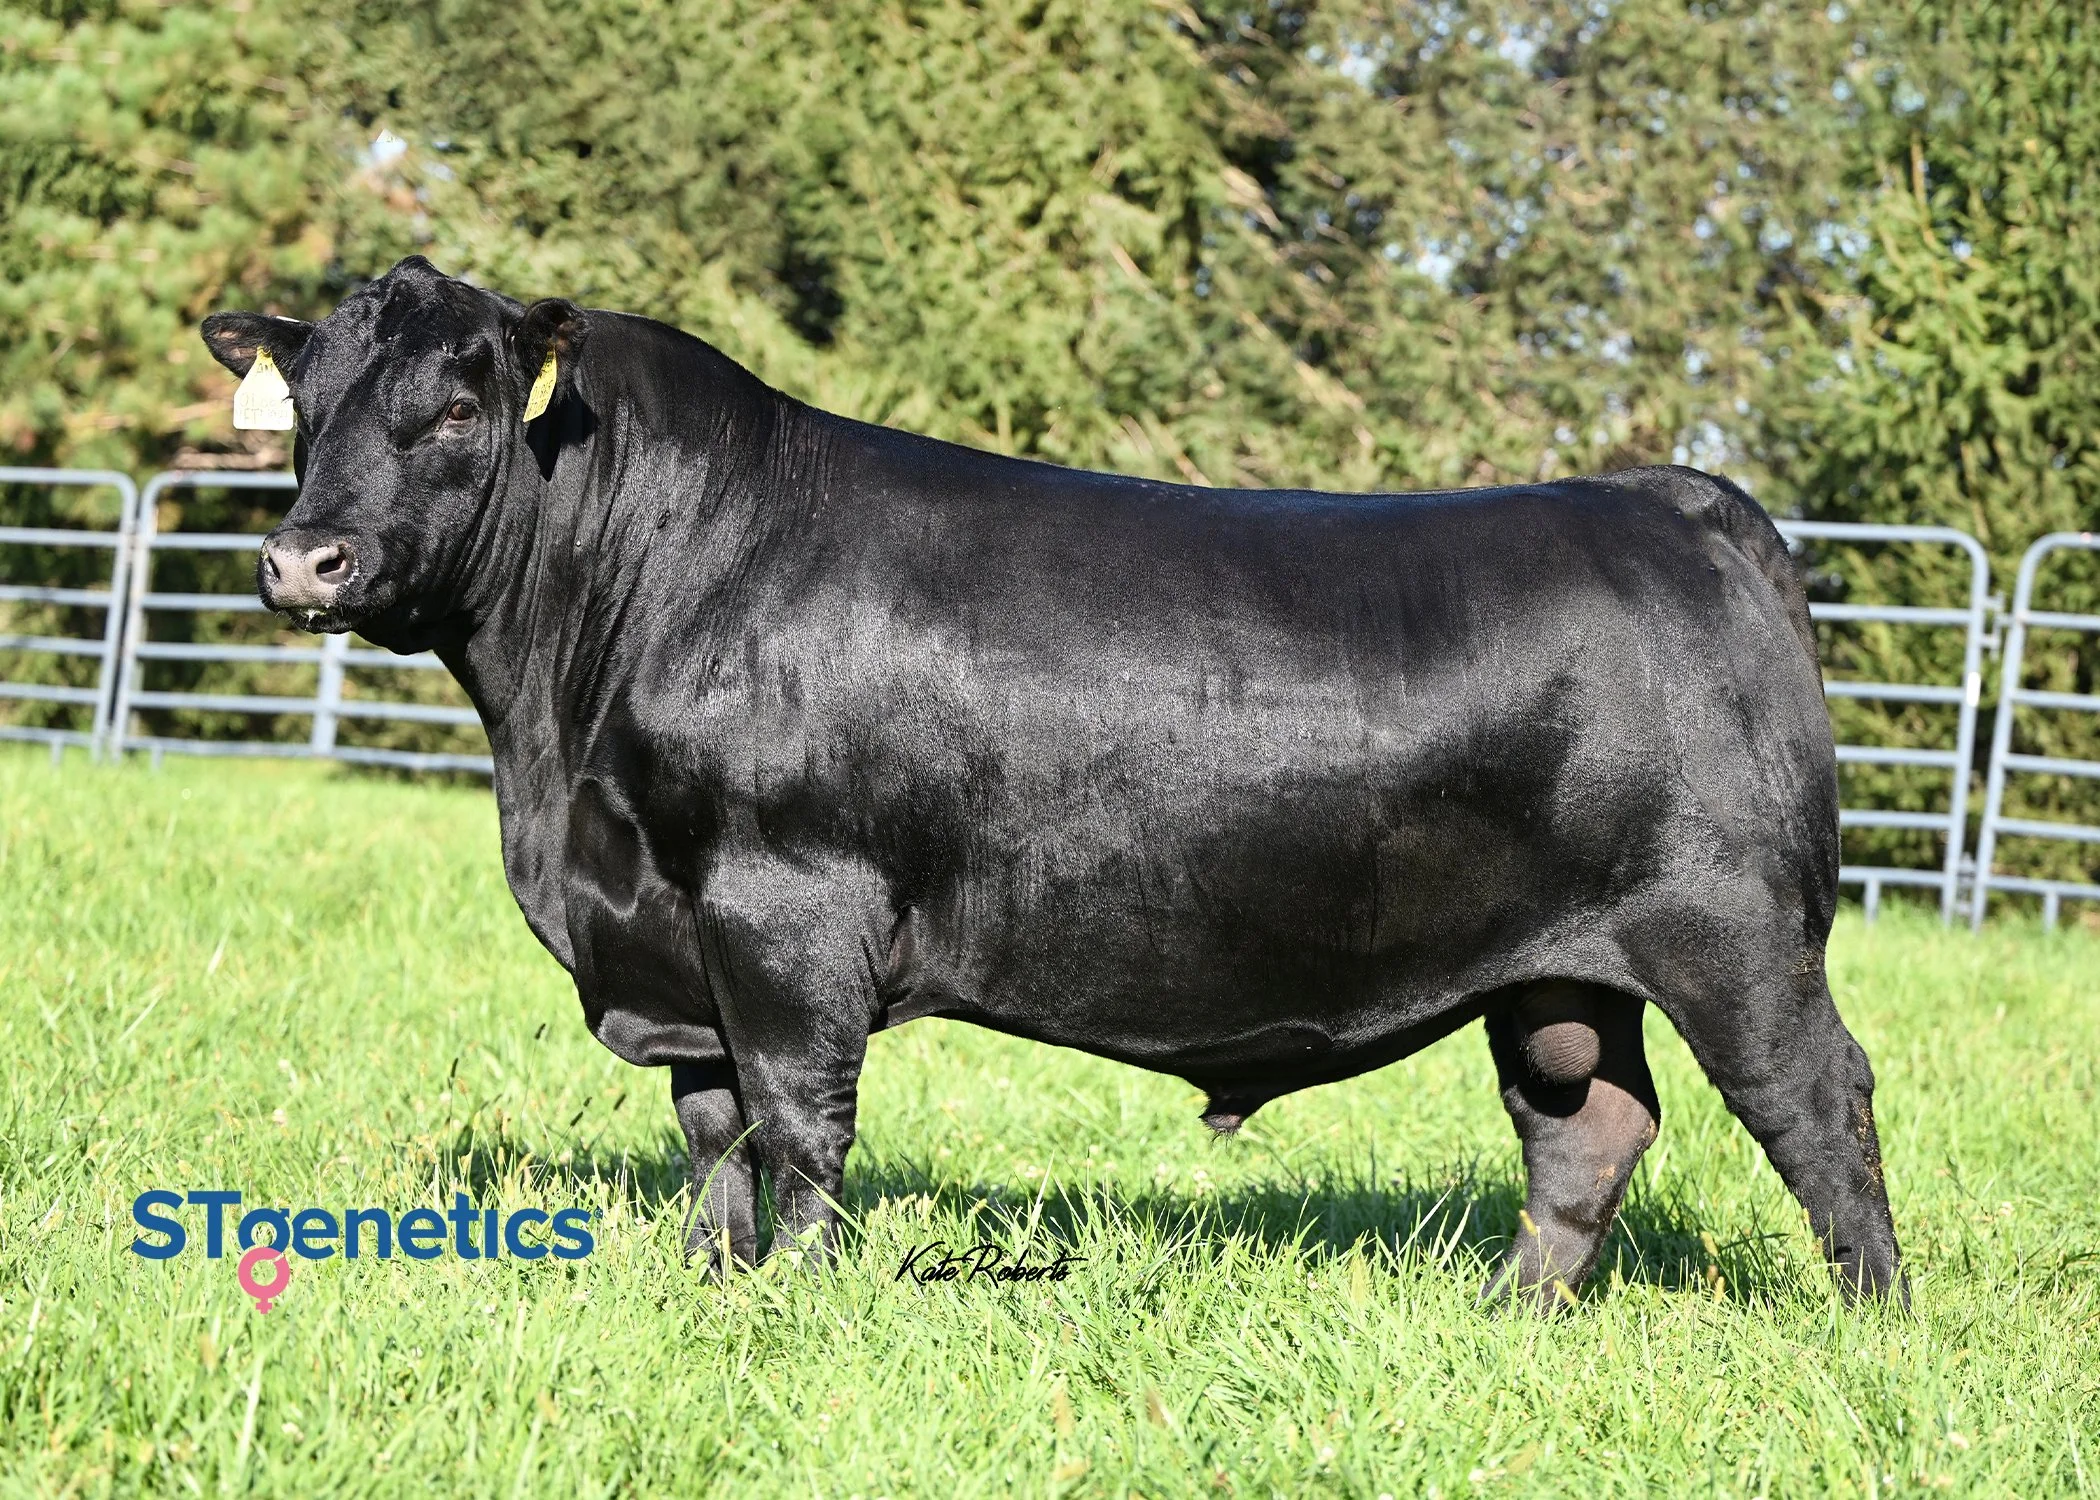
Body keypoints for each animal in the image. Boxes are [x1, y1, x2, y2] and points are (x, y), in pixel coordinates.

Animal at [203, 256, 1903, 1306]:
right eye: (308, 408)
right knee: (1585, 1124)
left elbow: (796, 1119)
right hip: (1559, 968)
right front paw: (712, 1285)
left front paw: (797, 1299)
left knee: (1822, 1103)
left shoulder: (782, 902)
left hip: (1734, 932)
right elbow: (712, 1129)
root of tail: (1667, 496)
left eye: (457, 408)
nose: (303, 559)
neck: (559, 770)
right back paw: (1510, 1311)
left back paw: (1875, 1322)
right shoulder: (668, 928)